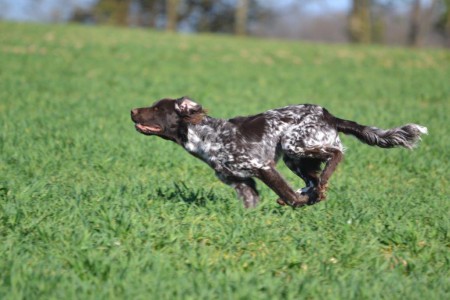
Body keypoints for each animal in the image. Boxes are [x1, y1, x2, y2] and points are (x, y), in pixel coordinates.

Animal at [130, 96, 426, 209]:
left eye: (157, 108)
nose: (132, 110)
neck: (207, 136)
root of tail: (329, 115)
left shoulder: (262, 167)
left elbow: (289, 195)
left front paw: (296, 201)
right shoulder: (242, 183)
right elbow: (253, 203)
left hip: (296, 144)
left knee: (335, 154)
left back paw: (320, 185)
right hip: (295, 159)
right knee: (313, 181)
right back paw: (315, 192)